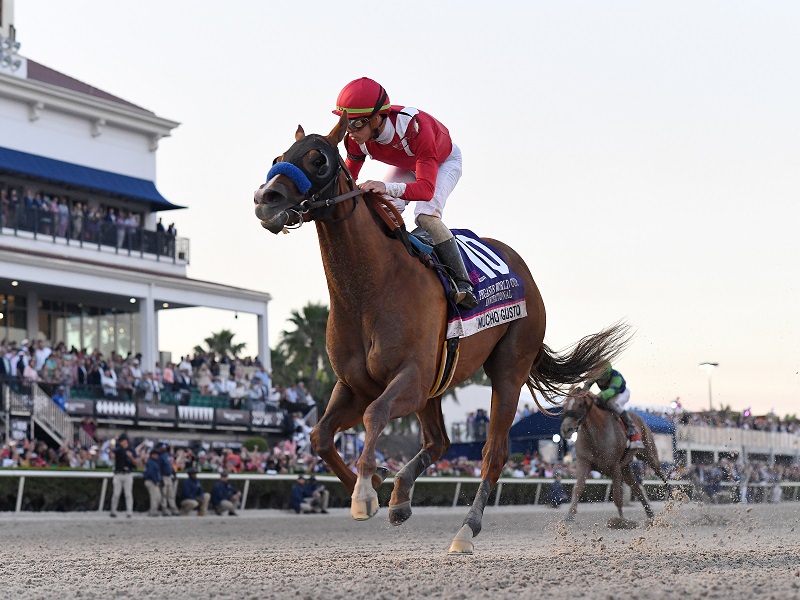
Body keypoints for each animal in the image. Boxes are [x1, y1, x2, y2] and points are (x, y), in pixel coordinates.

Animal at [253, 113, 630, 554]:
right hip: (438, 383)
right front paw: (374, 482)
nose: (266, 198)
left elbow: (374, 413)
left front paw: (366, 492)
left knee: (493, 451)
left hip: (508, 369)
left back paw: (466, 528)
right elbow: (319, 435)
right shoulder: (355, 385)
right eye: (278, 157)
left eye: (318, 160)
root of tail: (524, 271)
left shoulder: (411, 378)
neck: (370, 289)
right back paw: (401, 496)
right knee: (439, 442)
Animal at [559, 387, 672, 525]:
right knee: (637, 489)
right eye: (565, 404)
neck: (597, 433)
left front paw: (621, 521)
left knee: (660, 472)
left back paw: (676, 496)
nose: (566, 430)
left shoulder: (615, 467)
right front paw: (569, 516)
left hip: (647, 454)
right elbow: (578, 488)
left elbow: (617, 496)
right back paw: (650, 515)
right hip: (626, 468)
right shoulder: (583, 462)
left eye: (580, 404)